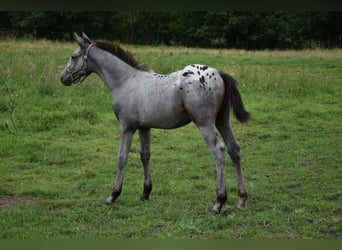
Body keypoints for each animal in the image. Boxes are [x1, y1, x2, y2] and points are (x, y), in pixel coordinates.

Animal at [60, 32, 250, 214]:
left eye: (73, 56)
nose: (63, 78)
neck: (126, 80)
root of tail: (219, 74)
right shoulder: (144, 127)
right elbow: (145, 155)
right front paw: (145, 192)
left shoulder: (126, 126)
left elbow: (122, 158)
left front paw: (113, 195)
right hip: (222, 120)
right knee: (234, 149)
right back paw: (241, 200)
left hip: (205, 123)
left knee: (219, 151)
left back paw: (219, 203)